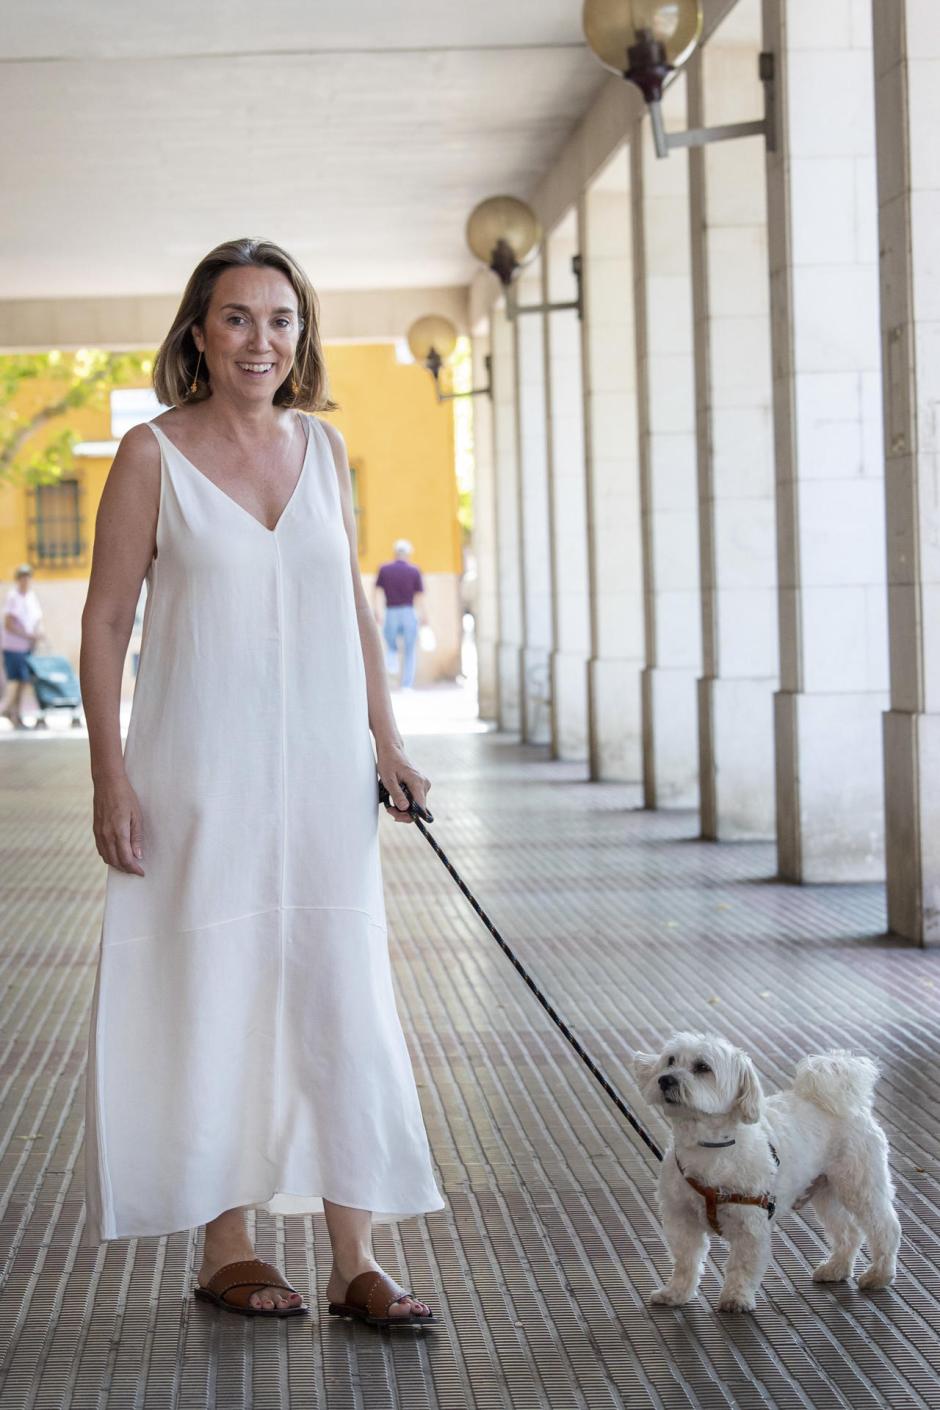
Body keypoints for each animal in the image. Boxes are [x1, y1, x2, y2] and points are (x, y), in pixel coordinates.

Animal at [631, 1037, 901, 1308]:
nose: (665, 1080)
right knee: (849, 1232)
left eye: (702, 1067)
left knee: (885, 1227)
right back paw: (836, 1269)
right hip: (826, 1191)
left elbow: (743, 1263)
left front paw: (736, 1297)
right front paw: (676, 1292)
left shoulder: (750, 1222)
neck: (708, 1146)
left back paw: (879, 1274)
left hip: (860, 1185)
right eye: (670, 1060)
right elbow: (686, 1261)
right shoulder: (681, 1218)